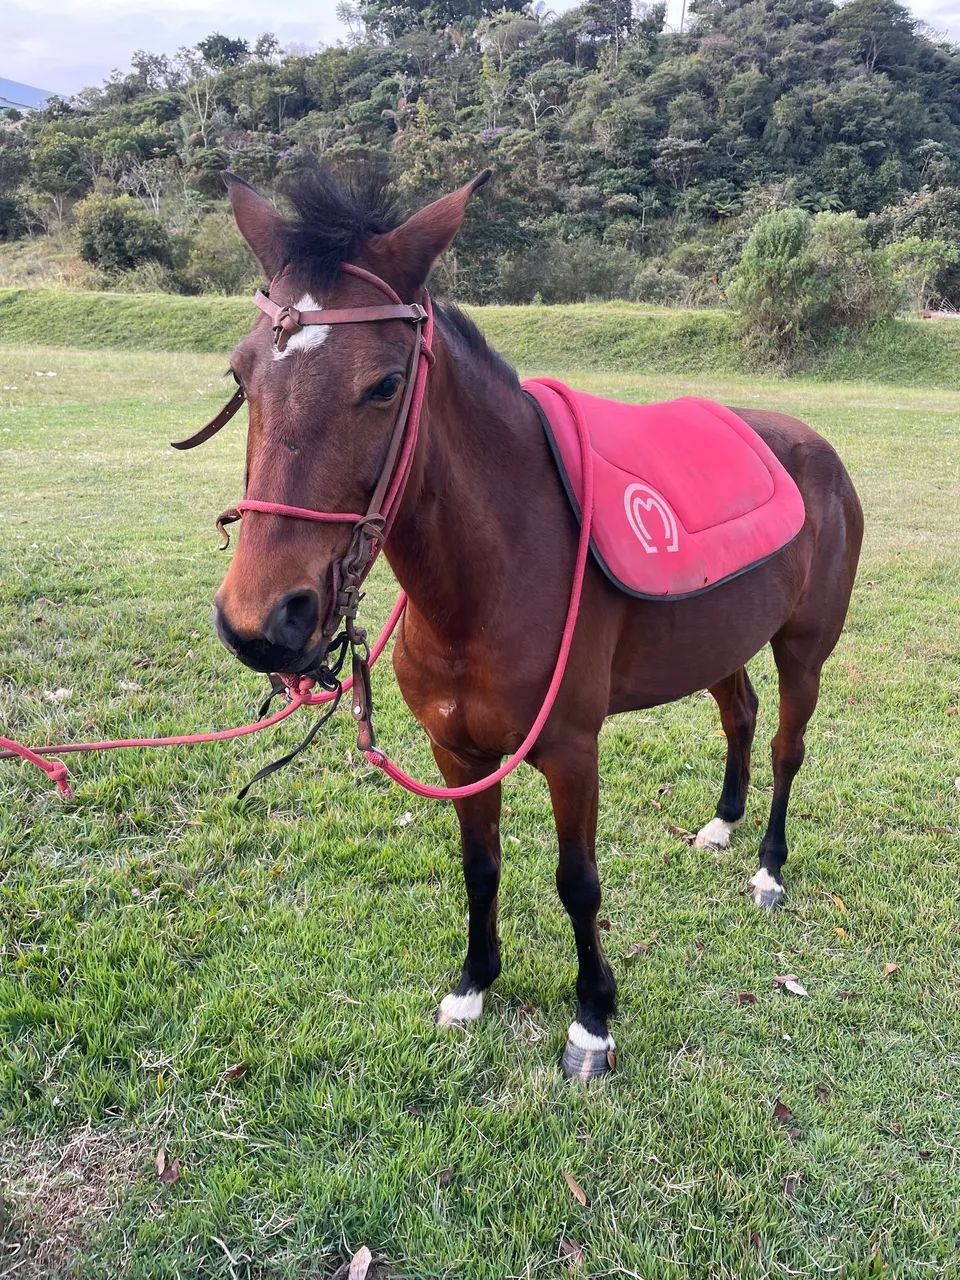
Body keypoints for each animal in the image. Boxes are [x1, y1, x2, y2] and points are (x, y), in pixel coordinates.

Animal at [206, 167, 863, 1079]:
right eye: (240, 375)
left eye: (385, 383)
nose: (263, 620)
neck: (490, 578)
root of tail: (812, 445)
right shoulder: (455, 750)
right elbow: (480, 866)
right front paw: (474, 984)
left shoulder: (571, 751)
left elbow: (576, 881)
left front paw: (592, 1019)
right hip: (716, 643)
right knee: (740, 715)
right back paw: (722, 825)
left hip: (804, 650)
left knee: (785, 746)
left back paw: (769, 868)